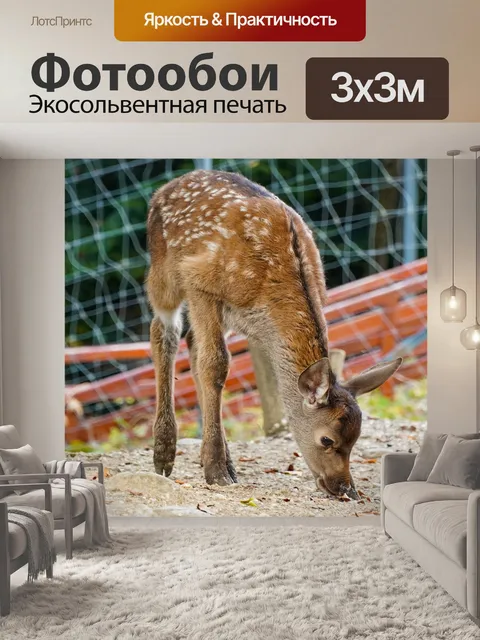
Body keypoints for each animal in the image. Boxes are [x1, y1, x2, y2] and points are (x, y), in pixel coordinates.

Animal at [146, 169, 402, 499]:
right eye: (327, 440)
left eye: (355, 441)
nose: (345, 487)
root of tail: (165, 188)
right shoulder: (200, 282)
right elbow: (216, 364)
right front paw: (216, 472)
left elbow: (208, 361)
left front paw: (218, 465)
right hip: (163, 269)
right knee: (164, 332)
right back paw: (165, 455)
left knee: (192, 344)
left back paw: (224, 460)